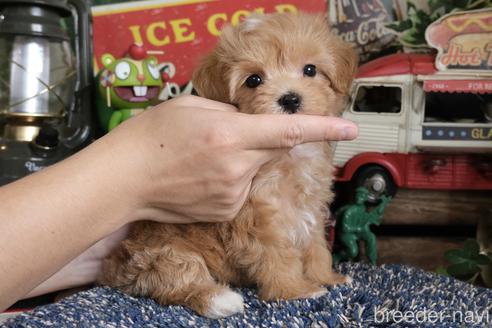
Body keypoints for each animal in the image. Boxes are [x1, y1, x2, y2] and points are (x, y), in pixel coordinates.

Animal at [100, 12, 356, 318]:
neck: (290, 156)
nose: (290, 99)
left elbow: (316, 246)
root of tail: (114, 267)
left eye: (310, 70)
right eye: (254, 79)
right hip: (164, 252)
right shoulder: (257, 219)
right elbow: (277, 256)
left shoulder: (312, 209)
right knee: (176, 280)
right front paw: (295, 291)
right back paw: (220, 299)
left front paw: (326, 277)